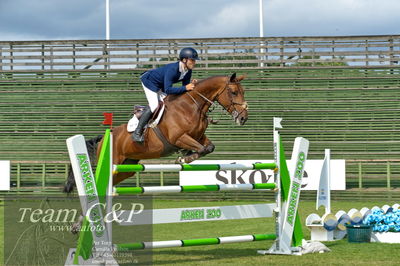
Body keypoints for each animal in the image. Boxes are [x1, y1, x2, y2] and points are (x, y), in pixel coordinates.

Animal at [63, 72, 248, 192]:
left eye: (243, 91)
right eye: (233, 92)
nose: (243, 118)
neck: (192, 106)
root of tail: (104, 137)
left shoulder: (199, 137)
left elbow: (208, 147)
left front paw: (186, 156)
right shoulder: (178, 138)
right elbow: (201, 148)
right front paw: (184, 158)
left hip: (127, 167)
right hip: (114, 162)